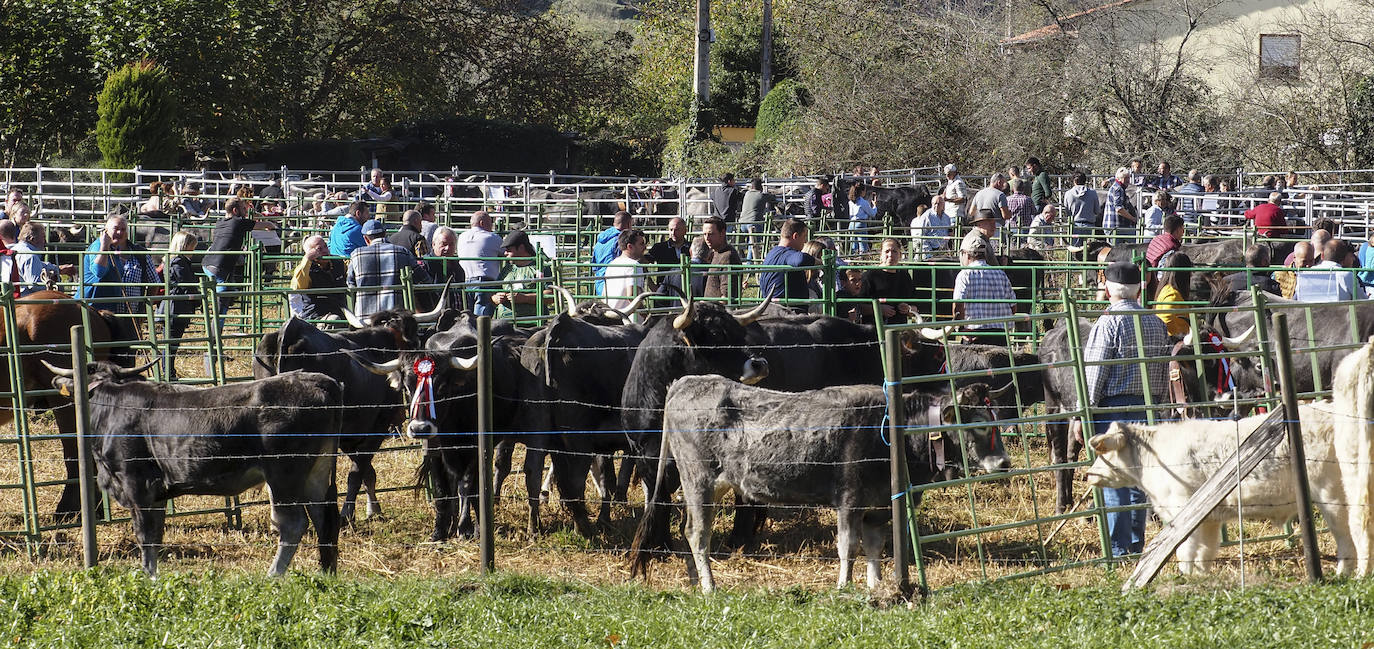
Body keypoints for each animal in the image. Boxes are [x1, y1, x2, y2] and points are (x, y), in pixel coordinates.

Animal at [49, 360, 340, 577]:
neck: (109, 406)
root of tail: (320, 381)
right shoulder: (156, 494)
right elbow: (156, 534)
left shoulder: (136, 484)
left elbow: (144, 534)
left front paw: (147, 576)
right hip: (317, 473)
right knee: (325, 519)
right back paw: (327, 572)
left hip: (284, 475)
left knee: (292, 524)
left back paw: (273, 576)